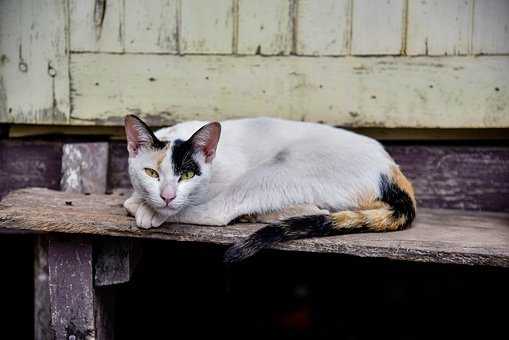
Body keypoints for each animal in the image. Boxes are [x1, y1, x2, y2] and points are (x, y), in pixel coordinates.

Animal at [123, 115, 412, 262]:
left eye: (187, 175)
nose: (167, 196)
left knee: (220, 211)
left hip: (278, 168)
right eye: (151, 173)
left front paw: (147, 208)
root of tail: (391, 168)